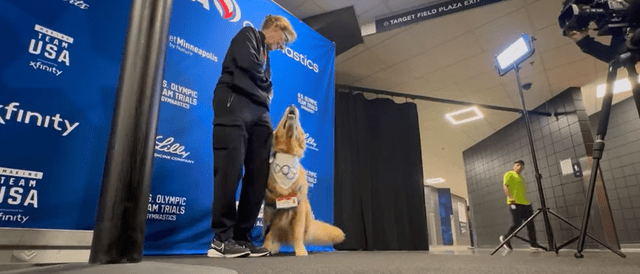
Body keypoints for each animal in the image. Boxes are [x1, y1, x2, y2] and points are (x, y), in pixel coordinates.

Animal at [262, 105, 344, 256]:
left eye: (299, 124)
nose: (292, 105)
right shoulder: (270, 208)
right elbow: (268, 234)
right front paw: (265, 247)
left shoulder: (299, 207)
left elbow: (298, 233)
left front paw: (300, 250)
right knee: (276, 234)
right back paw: (274, 247)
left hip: (307, 210)